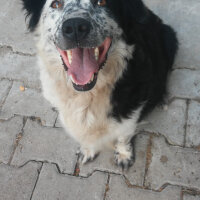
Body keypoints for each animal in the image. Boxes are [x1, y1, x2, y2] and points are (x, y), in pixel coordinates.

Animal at [21, 0, 178, 169]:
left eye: (101, 2)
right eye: (56, 4)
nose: (75, 27)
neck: (88, 94)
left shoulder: (131, 111)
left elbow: (123, 135)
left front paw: (124, 154)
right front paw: (88, 149)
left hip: (170, 39)